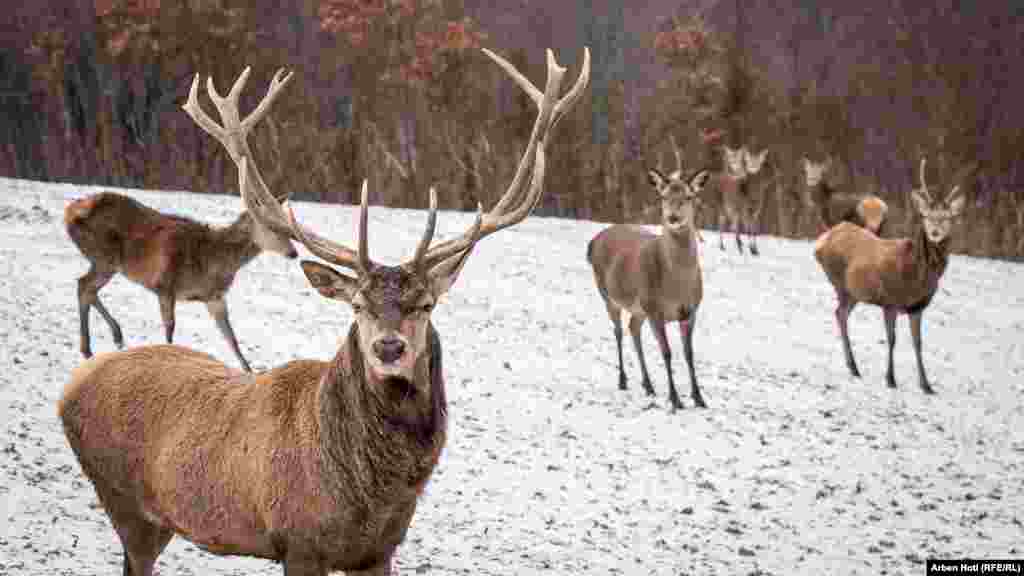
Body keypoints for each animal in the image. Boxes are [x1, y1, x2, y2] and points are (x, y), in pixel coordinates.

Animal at [64, 134, 299, 368]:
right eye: (271, 226)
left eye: (286, 222)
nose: (294, 253)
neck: (212, 263)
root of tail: (69, 213)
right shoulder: (164, 285)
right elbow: (170, 331)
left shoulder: (214, 298)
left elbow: (232, 339)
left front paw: (249, 371)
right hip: (104, 257)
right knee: (84, 285)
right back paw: (91, 348)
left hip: (105, 262)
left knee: (87, 288)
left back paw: (114, 337)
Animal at [585, 163, 712, 409]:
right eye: (663, 196)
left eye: (689, 196)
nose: (673, 217)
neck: (676, 287)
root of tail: (593, 241)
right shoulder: (655, 309)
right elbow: (667, 352)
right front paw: (675, 399)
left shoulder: (690, 311)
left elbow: (689, 353)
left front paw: (699, 398)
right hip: (609, 295)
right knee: (618, 331)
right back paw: (623, 380)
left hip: (639, 307)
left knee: (633, 328)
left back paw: (648, 385)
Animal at [815, 154, 966, 391]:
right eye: (925, 216)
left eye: (947, 218)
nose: (934, 232)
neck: (917, 275)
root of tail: (821, 242)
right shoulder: (890, 301)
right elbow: (892, 339)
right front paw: (891, 379)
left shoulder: (917, 307)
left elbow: (918, 342)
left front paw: (926, 385)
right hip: (841, 285)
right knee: (840, 313)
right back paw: (854, 367)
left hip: (855, 293)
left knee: (841, 314)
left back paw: (853, 367)